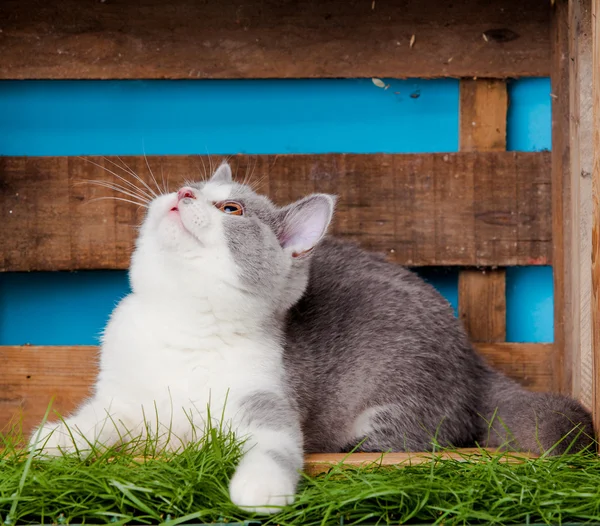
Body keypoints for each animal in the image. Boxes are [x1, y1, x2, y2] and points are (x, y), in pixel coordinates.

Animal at [31, 162, 596, 516]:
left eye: (231, 210)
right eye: (190, 185)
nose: (184, 194)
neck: (182, 323)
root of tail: (473, 357)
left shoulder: (266, 395)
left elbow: (278, 445)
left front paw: (260, 489)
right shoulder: (124, 397)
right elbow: (100, 421)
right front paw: (55, 439)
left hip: (403, 393)